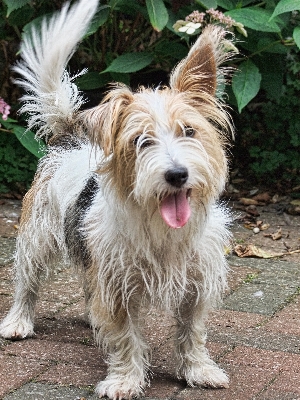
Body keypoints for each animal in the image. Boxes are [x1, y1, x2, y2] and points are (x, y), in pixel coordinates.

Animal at [0, 1, 234, 398]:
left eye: (189, 131)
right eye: (141, 140)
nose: (176, 174)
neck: (160, 227)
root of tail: (71, 135)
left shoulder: (196, 284)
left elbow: (192, 332)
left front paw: (199, 370)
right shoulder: (117, 285)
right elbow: (125, 336)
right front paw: (125, 379)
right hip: (37, 235)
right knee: (26, 281)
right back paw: (18, 321)